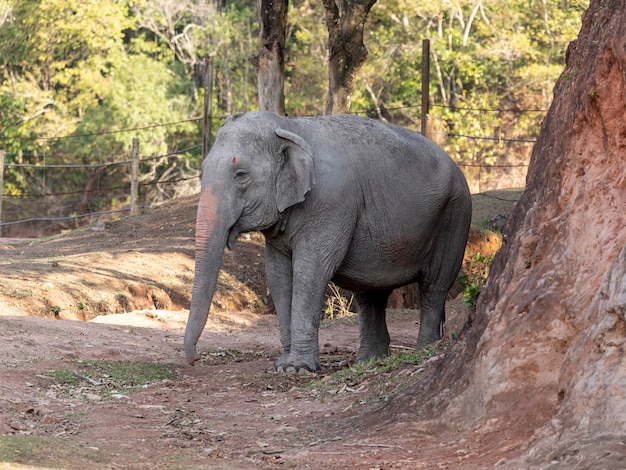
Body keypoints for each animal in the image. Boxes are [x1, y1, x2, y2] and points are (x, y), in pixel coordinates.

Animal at [183, 110, 470, 370]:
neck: (290, 126)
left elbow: (310, 270)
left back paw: (425, 349)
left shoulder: (330, 203)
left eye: (241, 174)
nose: (195, 359)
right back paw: (369, 361)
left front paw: (296, 368)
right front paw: (283, 364)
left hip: (454, 216)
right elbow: (278, 274)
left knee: (434, 287)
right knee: (370, 295)